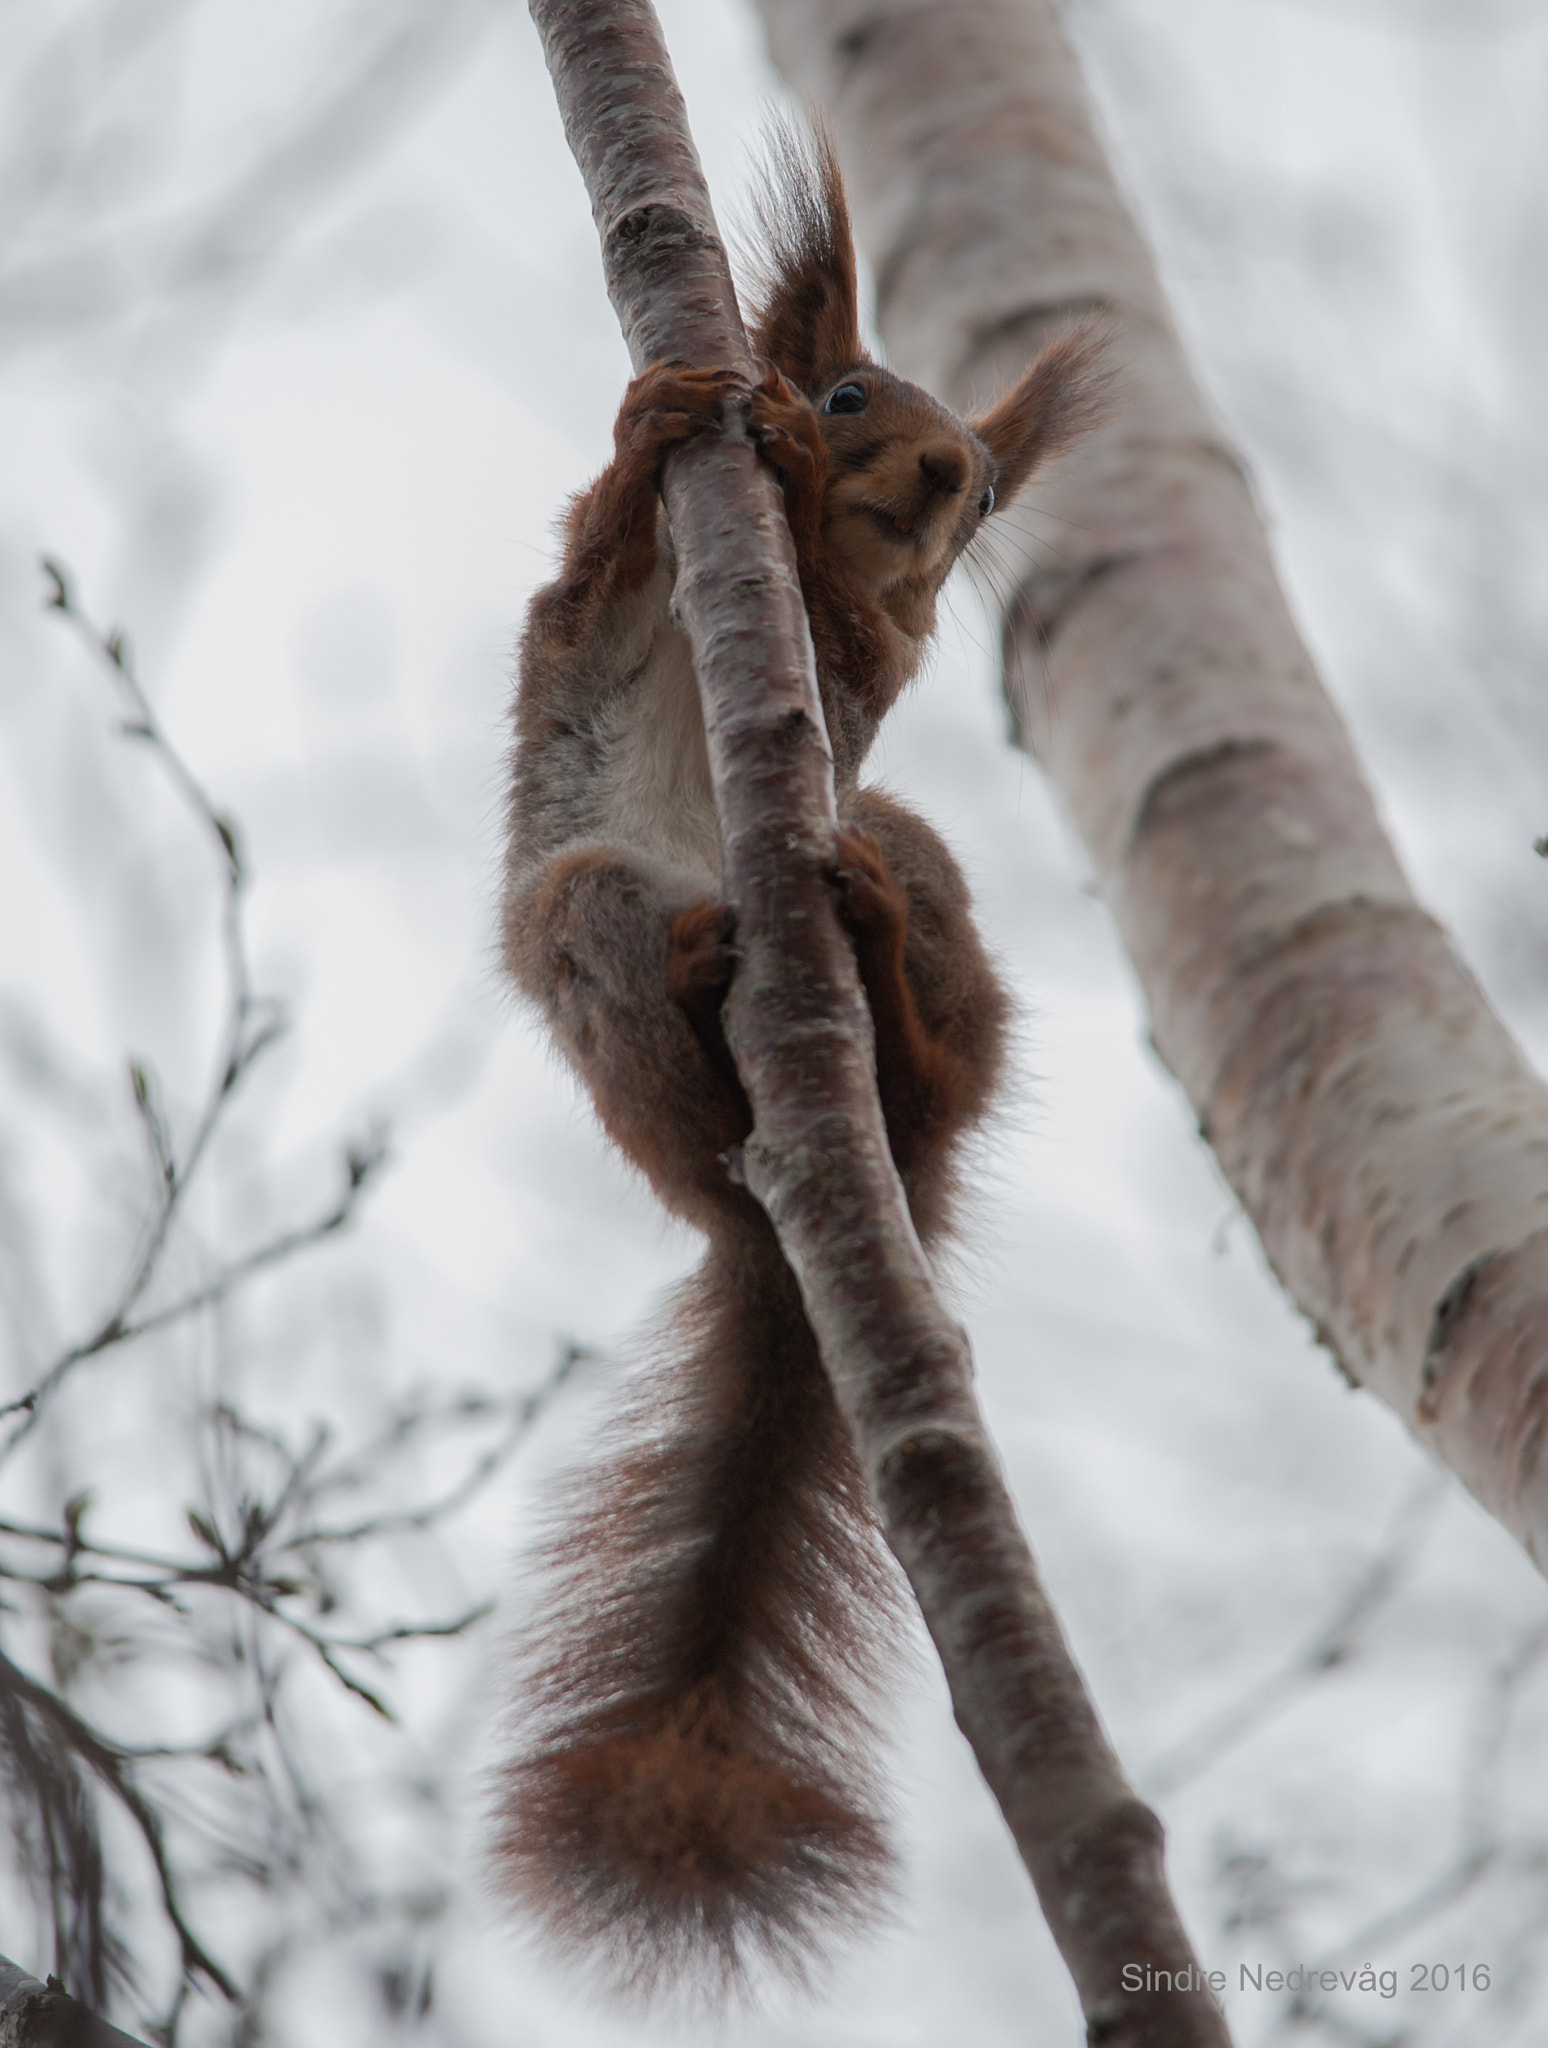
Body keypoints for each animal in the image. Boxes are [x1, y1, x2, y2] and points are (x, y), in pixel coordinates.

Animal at [493, 126, 1102, 2005]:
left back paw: (884, 969)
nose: (946, 471)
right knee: (629, 967)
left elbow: (856, 638)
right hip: (583, 921)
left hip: (896, 837)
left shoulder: (873, 677)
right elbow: (582, 566)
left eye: (983, 497)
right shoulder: (583, 618)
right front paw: (687, 415)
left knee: (919, 969)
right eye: (847, 388)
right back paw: (700, 977)